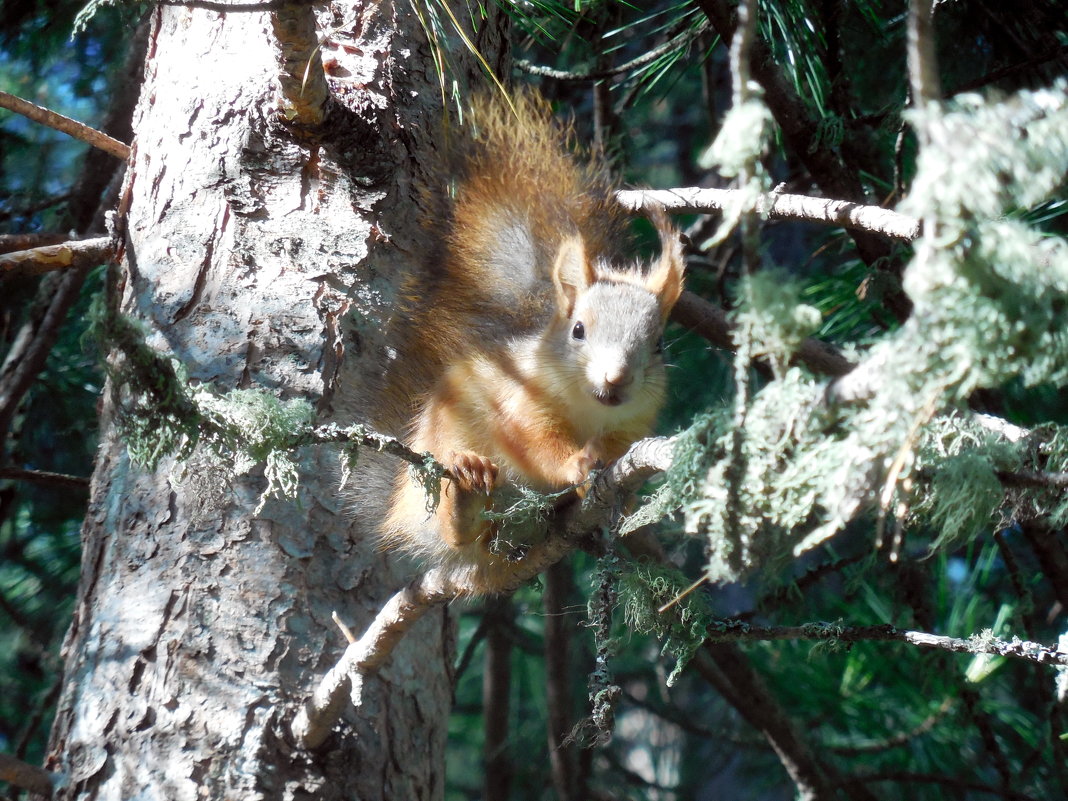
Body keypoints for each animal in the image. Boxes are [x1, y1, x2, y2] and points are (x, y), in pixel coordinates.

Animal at [363, 90, 687, 598]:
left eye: (660, 345)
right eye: (578, 330)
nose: (616, 378)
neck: (590, 412)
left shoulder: (631, 427)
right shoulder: (523, 402)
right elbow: (530, 442)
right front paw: (576, 464)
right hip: (437, 465)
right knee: (454, 535)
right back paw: (466, 497)